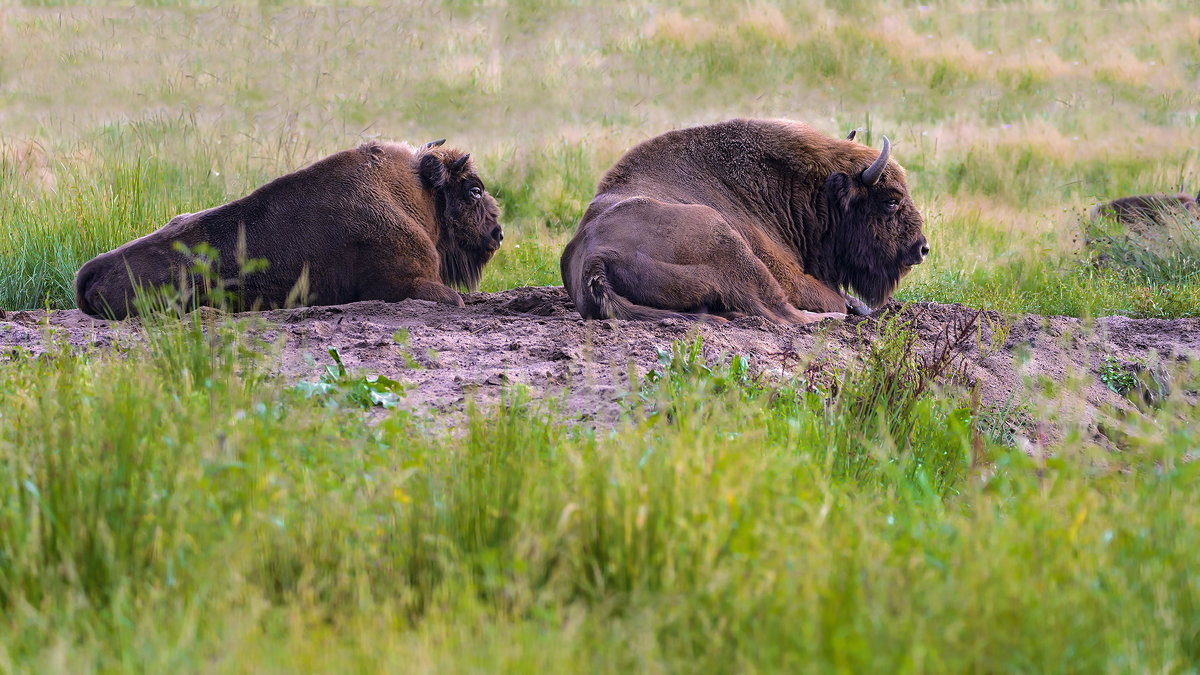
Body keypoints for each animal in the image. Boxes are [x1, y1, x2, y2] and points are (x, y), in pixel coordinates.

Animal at [71, 138, 501, 319]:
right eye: (475, 190)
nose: (498, 233)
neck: (415, 193)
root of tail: (91, 270)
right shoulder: (406, 286)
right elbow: (457, 299)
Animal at [559, 117, 926, 321]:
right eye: (891, 201)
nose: (921, 249)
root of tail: (594, 258)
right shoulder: (789, 276)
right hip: (730, 246)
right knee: (782, 312)